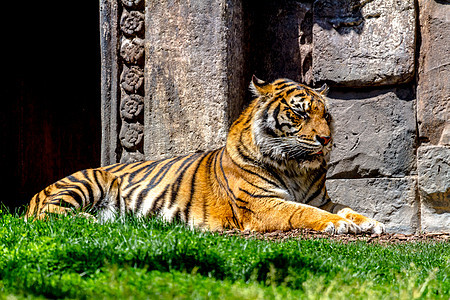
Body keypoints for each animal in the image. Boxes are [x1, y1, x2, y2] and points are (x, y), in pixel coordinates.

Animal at [24, 75, 384, 234]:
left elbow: (346, 207)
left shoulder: (321, 198)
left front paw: (370, 221)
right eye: (299, 113)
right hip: (90, 181)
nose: (326, 139)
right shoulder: (261, 204)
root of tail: (34, 194)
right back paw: (88, 219)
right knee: (45, 216)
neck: (296, 168)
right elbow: (304, 212)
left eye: (326, 115)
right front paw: (339, 225)